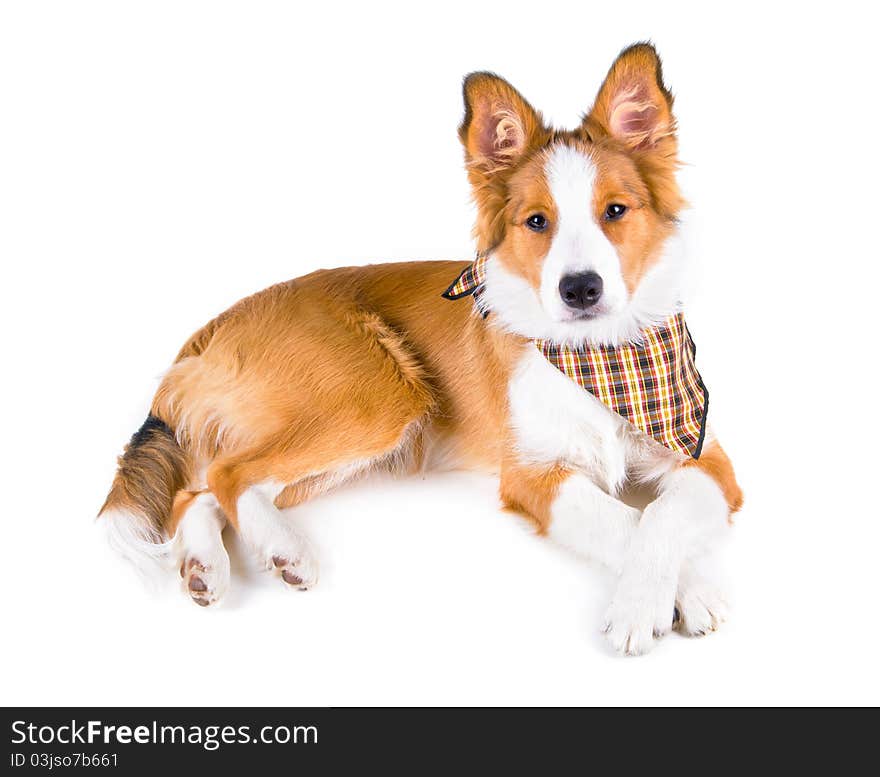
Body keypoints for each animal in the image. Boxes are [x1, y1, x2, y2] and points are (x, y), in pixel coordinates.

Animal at [99, 44, 740, 656]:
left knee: (198, 491)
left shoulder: (706, 456)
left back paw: (204, 566)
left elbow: (661, 511)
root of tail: (212, 328)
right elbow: (626, 519)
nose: (580, 289)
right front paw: (662, 601)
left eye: (616, 211)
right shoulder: (533, 476)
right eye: (537, 221)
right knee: (226, 473)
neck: (598, 357)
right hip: (379, 399)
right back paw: (283, 548)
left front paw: (678, 592)